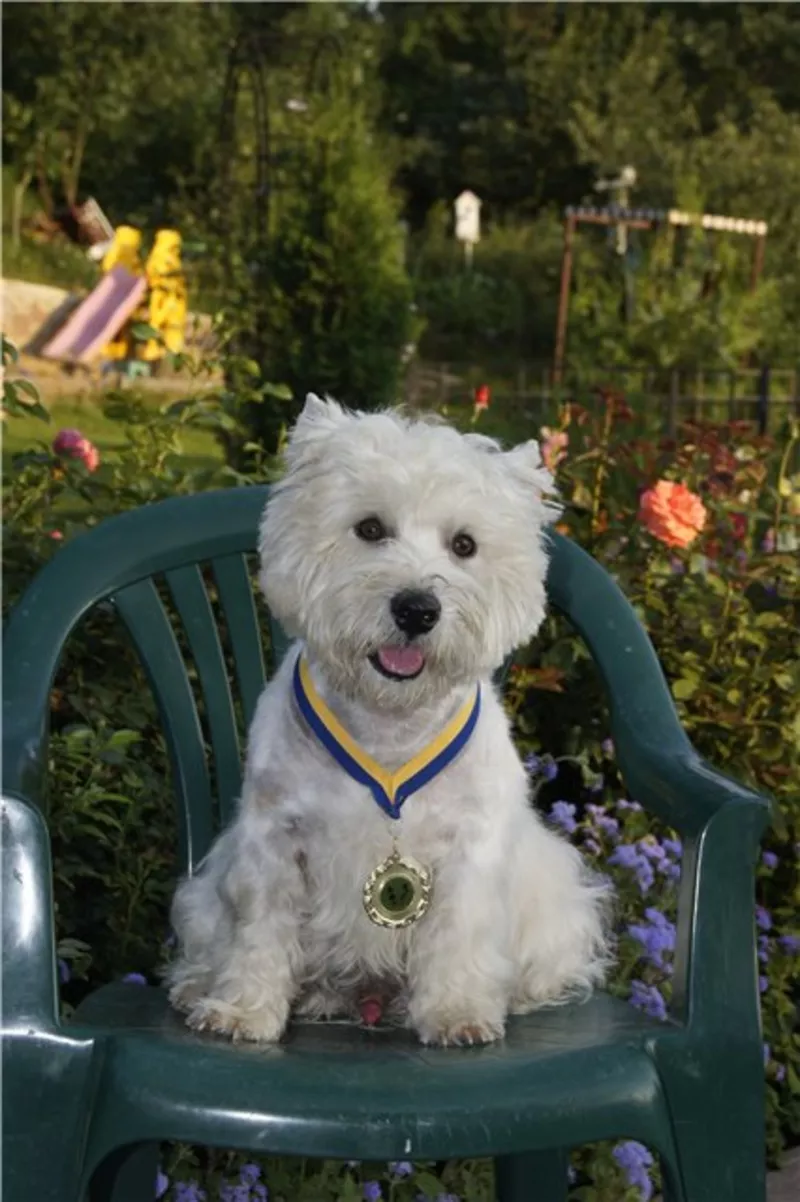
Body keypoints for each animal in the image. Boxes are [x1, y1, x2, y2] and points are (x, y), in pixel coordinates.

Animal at [164, 394, 607, 1043]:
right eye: (370, 528)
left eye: (465, 544)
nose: (417, 609)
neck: (388, 727)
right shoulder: (274, 838)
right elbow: (260, 929)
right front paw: (243, 1011)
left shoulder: (469, 849)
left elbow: (457, 934)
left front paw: (456, 1013)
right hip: (206, 899)